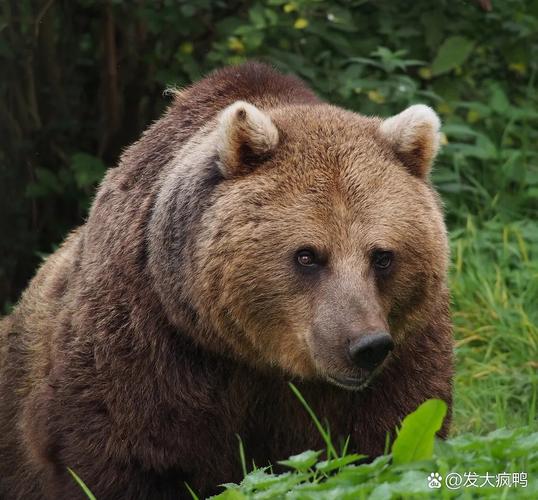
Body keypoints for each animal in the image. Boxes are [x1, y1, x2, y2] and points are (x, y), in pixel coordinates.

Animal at [0, 63, 450, 500]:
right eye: (307, 255)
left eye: (382, 256)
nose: (365, 346)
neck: (256, 357)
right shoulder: (148, 344)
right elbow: (122, 455)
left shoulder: (404, 349)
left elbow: (387, 437)